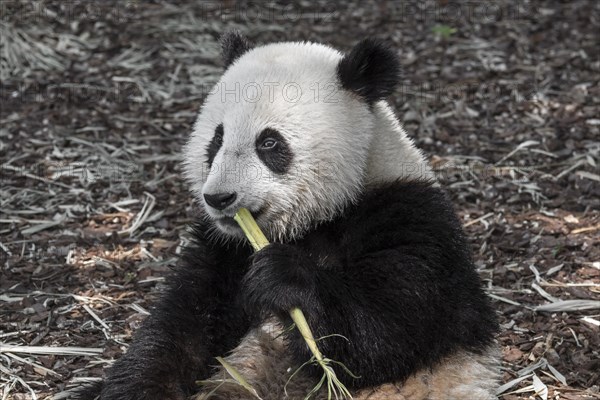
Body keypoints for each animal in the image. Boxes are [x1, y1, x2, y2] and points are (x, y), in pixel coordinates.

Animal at [81, 33, 502, 400]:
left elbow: (392, 330)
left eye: (269, 143)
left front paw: (284, 278)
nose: (219, 198)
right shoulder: (223, 249)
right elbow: (183, 326)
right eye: (216, 140)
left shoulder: (410, 216)